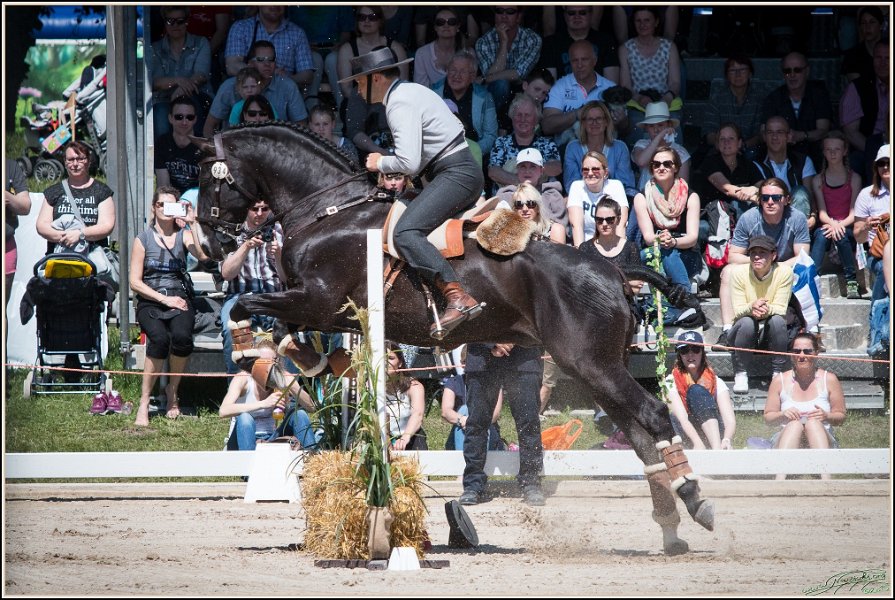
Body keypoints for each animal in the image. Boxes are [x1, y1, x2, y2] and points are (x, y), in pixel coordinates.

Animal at [191, 122, 715, 555]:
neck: (328, 211)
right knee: (640, 435)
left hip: (592, 364)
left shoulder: (316, 299)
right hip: (594, 370)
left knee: (654, 415)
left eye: (212, 177)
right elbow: (281, 332)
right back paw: (670, 526)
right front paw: (293, 364)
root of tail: (612, 269)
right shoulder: (322, 309)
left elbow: (245, 306)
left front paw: (252, 353)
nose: (210, 245)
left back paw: (694, 500)